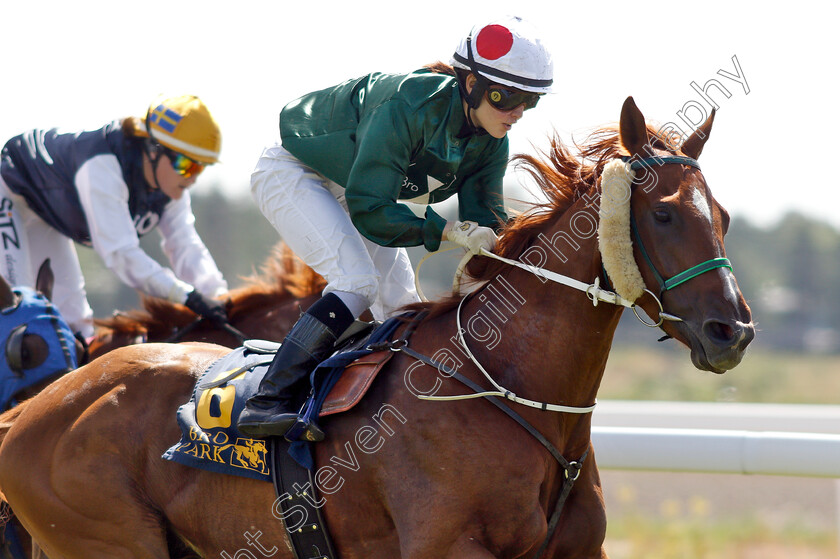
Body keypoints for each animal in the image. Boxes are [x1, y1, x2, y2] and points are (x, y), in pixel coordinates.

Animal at [0, 98, 756, 556]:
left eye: (721, 214)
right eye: (663, 214)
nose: (734, 330)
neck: (507, 389)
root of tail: (36, 409)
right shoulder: (449, 548)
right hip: (106, 540)